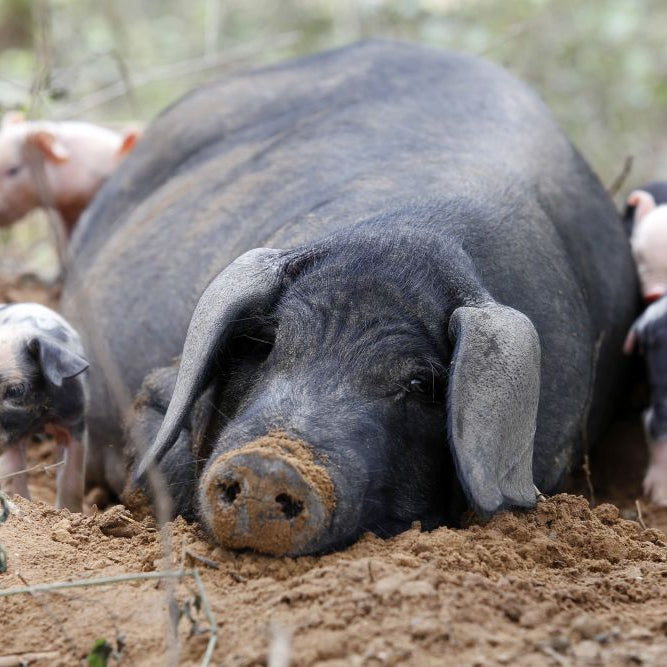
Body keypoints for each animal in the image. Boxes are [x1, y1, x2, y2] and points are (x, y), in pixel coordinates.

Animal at [0, 303, 89, 511]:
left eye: (15, 390)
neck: (39, 421)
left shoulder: (75, 421)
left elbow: (72, 479)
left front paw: (70, 512)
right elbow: (14, 476)